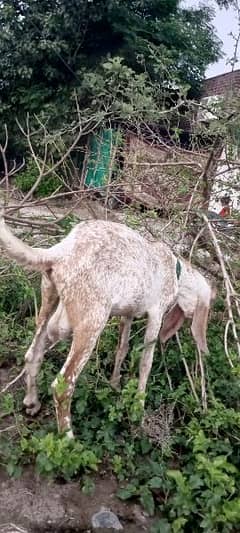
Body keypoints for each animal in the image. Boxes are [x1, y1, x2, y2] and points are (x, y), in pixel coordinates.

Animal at [0, 216, 214, 436]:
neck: (175, 270)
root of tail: (63, 251)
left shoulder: (128, 314)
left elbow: (122, 349)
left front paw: (114, 384)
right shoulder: (156, 315)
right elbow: (146, 364)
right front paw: (138, 408)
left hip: (48, 301)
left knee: (32, 355)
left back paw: (32, 402)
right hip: (91, 324)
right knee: (63, 384)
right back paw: (68, 436)